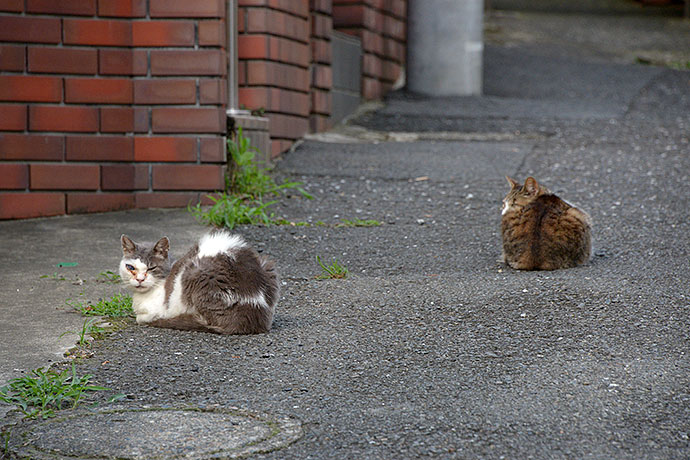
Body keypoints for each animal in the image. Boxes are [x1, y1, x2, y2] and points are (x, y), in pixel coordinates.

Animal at [119, 230, 278, 334]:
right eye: (130, 267)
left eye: (151, 268)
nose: (140, 279)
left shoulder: (157, 310)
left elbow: (141, 317)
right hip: (268, 266)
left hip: (195, 274)